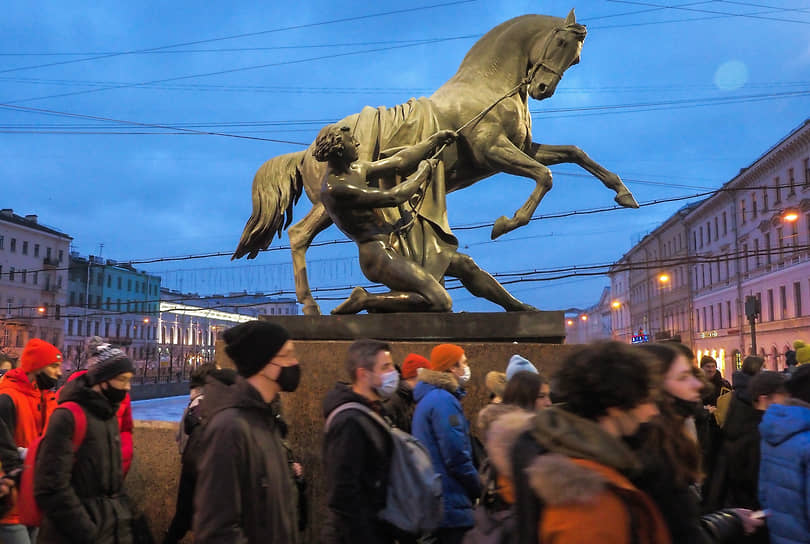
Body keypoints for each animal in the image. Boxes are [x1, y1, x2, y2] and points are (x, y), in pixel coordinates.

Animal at [230, 10, 636, 316]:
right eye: (562, 43)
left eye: (577, 57)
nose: (541, 90)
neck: (486, 88)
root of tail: (306, 152)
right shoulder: (492, 149)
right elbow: (546, 176)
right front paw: (505, 224)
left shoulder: (524, 147)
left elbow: (574, 153)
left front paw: (623, 193)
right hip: (334, 200)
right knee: (299, 235)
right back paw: (313, 308)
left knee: (302, 235)